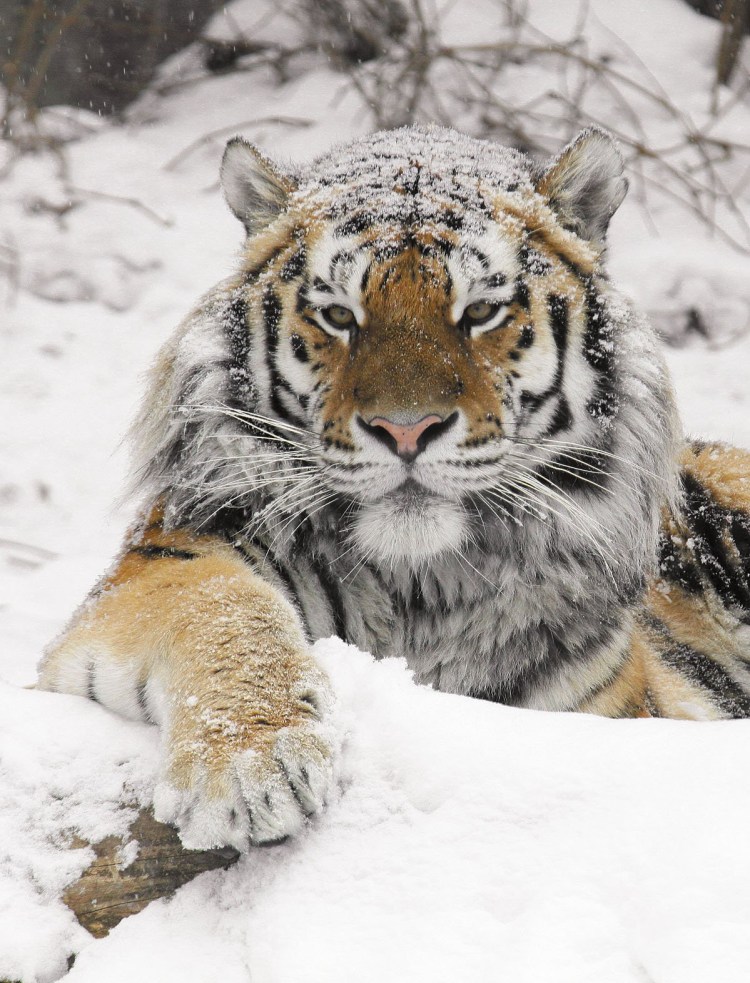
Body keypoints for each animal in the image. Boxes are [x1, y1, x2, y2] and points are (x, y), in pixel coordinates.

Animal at [38, 124, 750, 851]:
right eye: (337, 314)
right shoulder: (165, 559)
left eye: (482, 311)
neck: (421, 589)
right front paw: (249, 764)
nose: (406, 429)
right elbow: (223, 607)